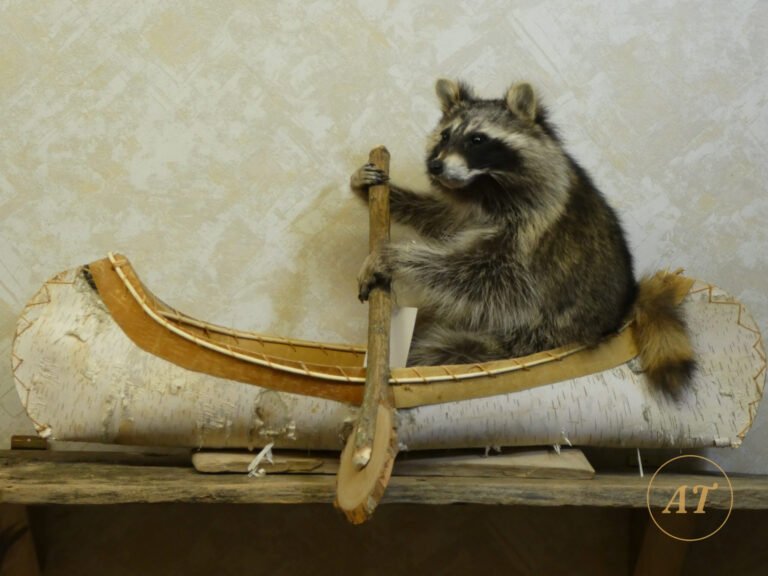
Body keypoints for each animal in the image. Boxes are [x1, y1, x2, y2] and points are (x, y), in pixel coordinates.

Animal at [351, 79, 694, 395]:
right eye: (445, 136)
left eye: (477, 139)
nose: (435, 165)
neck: (483, 187)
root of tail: (624, 307)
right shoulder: (470, 209)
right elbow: (442, 218)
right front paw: (385, 197)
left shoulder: (534, 229)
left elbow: (488, 277)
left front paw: (393, 256)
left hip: (539, 335)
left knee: (441, 349)